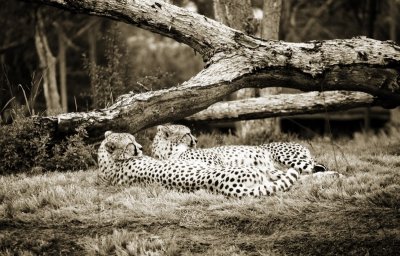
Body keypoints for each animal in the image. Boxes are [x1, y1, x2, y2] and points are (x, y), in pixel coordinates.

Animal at [152, 124, 326, 177]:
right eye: (187, 134)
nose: (196, 140)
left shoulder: (216, 159)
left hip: (287, 157)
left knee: (318, 167)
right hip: (275, 167)